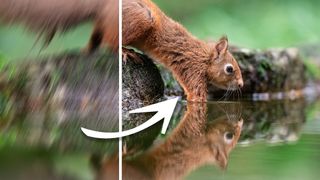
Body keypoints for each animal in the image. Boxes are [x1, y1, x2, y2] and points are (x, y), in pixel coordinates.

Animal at [0, 0, 244, 101]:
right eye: (230, 69)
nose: (242, 85)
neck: (203, 56)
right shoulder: (190, 68)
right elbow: (196, 95)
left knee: (95, 39)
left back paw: (89, 49)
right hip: (139, 19)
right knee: (109, 42)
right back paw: (125, 52)